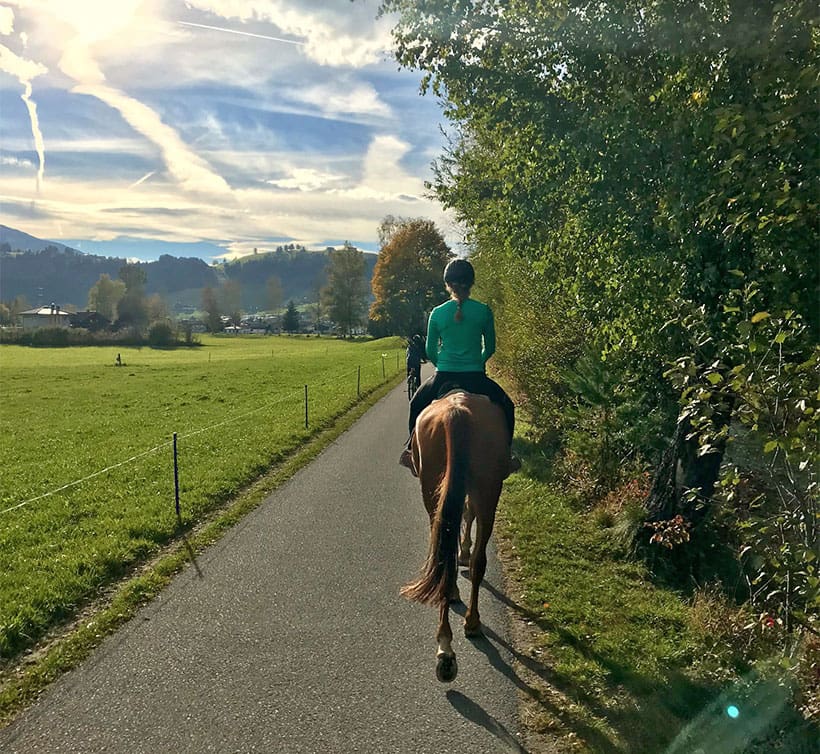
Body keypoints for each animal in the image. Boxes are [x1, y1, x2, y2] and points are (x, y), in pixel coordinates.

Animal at [402, 388, 510, 680]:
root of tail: (456, 411)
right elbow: (467, 516)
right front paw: (465, 550)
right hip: (487, 493)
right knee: (475, 561)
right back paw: (468, 625)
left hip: (436, 494)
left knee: (446, 558)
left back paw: (447, 646)